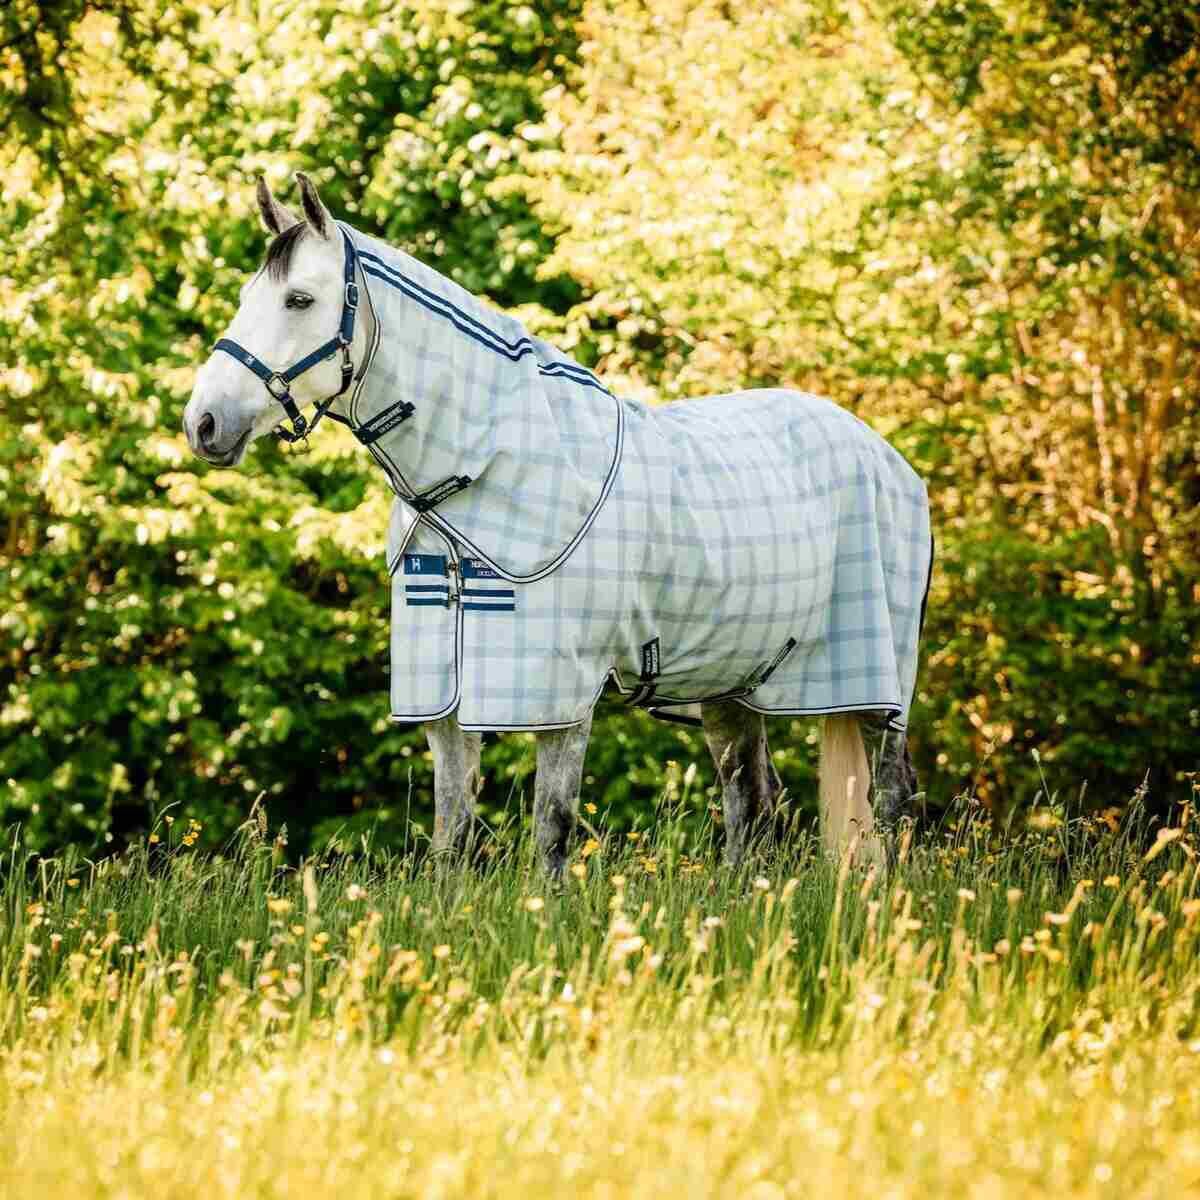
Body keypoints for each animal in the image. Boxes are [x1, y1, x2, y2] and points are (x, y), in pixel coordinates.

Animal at [183, 173, 932, 876]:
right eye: (249, 296)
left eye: (299, 300)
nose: (204, 424)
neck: (480, 473)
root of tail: (890, 460)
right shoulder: (444, 699)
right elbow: (452, 834)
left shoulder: (560, 693)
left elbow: (551, 829)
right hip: (734, 685)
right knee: (753, 803)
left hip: (878, 688)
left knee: (890, 802)